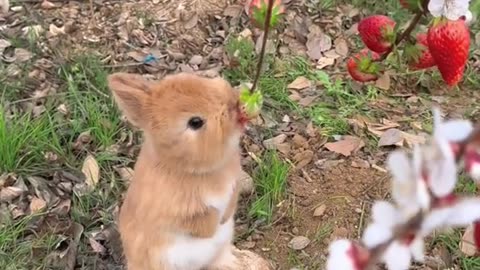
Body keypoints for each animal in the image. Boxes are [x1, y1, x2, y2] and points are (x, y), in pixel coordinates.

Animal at [107, 72, 246, 270]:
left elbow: (231, 203)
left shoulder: (234, 185)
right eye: (195, 122)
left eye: (201, 79)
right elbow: (202, 223)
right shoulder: (181, 214)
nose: (234, 103)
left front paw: (224, 218)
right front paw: (212, 228)